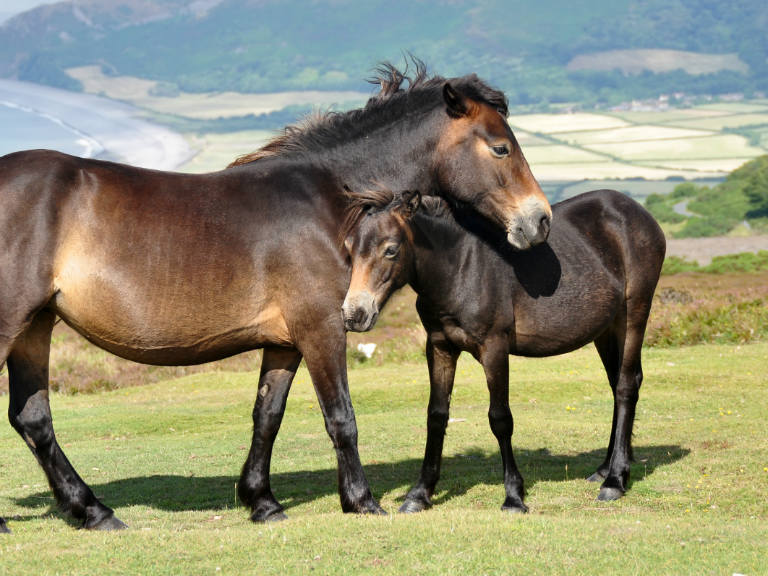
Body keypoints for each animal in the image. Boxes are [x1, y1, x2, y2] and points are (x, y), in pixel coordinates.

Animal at [0, 63, 552, 532]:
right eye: (501, 148)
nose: (539, 220)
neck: (329, 201)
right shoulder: (322, 327)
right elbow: (341, 416)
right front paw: (361, 500)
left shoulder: (284, 340)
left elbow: (267, 417)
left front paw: (261, 502)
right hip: (11, 323)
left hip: (35, 326)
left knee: (33, 419)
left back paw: (93, 511)